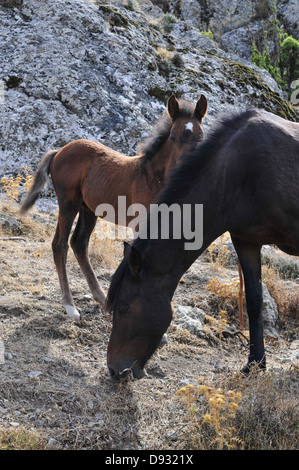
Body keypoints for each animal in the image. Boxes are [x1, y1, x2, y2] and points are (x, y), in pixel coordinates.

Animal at [19, 93, 209, 322]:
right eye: (173, 137)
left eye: (201, 137)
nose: (188, 166)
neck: (153, 179)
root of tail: (59, 151)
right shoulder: (140, 225)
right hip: (68, 202)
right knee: (60, 244)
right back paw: (70, 306)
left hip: (88, 209)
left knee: (79, 243)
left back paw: (103, 300)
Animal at [106, 108, 298, 380]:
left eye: (124, 309)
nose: (113, 370)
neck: (243, 171)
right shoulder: (246, 241)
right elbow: (254, 301)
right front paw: (255, 362)